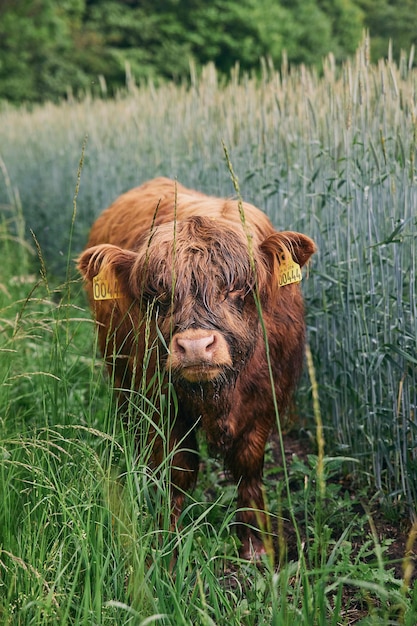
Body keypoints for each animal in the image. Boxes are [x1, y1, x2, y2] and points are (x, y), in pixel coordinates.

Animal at [77, 178, 316, 560]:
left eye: (237, 288)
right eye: (157, 293)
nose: (194, 346)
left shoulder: (266, 402)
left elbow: (248, 467)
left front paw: (255, 544)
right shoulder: (161, 404)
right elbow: (178, 470)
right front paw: (168, 542)